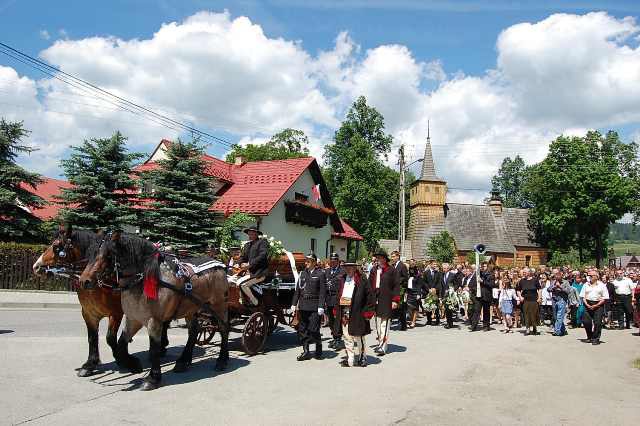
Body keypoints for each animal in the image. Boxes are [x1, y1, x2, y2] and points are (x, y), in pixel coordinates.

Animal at [79, 231, 229, 392]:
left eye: (108, 255)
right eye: (89, 254)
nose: (84, 281)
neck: (144, 280)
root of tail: (220, 265)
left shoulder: (154, 321)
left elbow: (154, 349)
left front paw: (152, 378)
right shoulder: (133, 319)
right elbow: (121, 344)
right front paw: (133, 365)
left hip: (218, 305)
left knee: (224, 328)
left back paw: (222, 360)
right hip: (191, 309)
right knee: (194, 331)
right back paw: (183, 361)